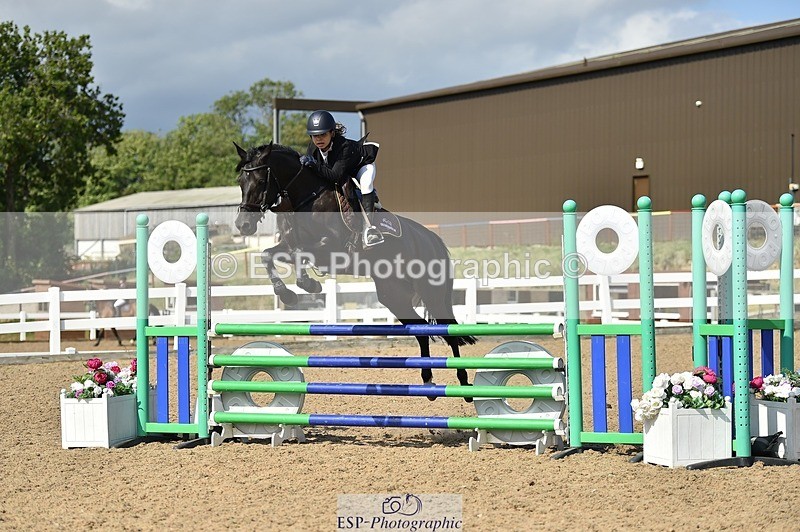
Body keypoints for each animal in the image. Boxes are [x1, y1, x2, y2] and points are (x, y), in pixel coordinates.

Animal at [233, 141, 476, 399]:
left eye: (261, 180)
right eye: (240, 181)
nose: (243, 225)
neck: (307, 199)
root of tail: (430, 238)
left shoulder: (330, 249)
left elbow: (300, 254)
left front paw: (308, 284)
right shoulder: (289, 246)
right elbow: (268, 254)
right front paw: (287, 293)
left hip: (431, 292)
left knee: (447, 329)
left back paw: (463, 381)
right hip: (393, 295)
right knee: (420, 329)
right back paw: (428, 381)